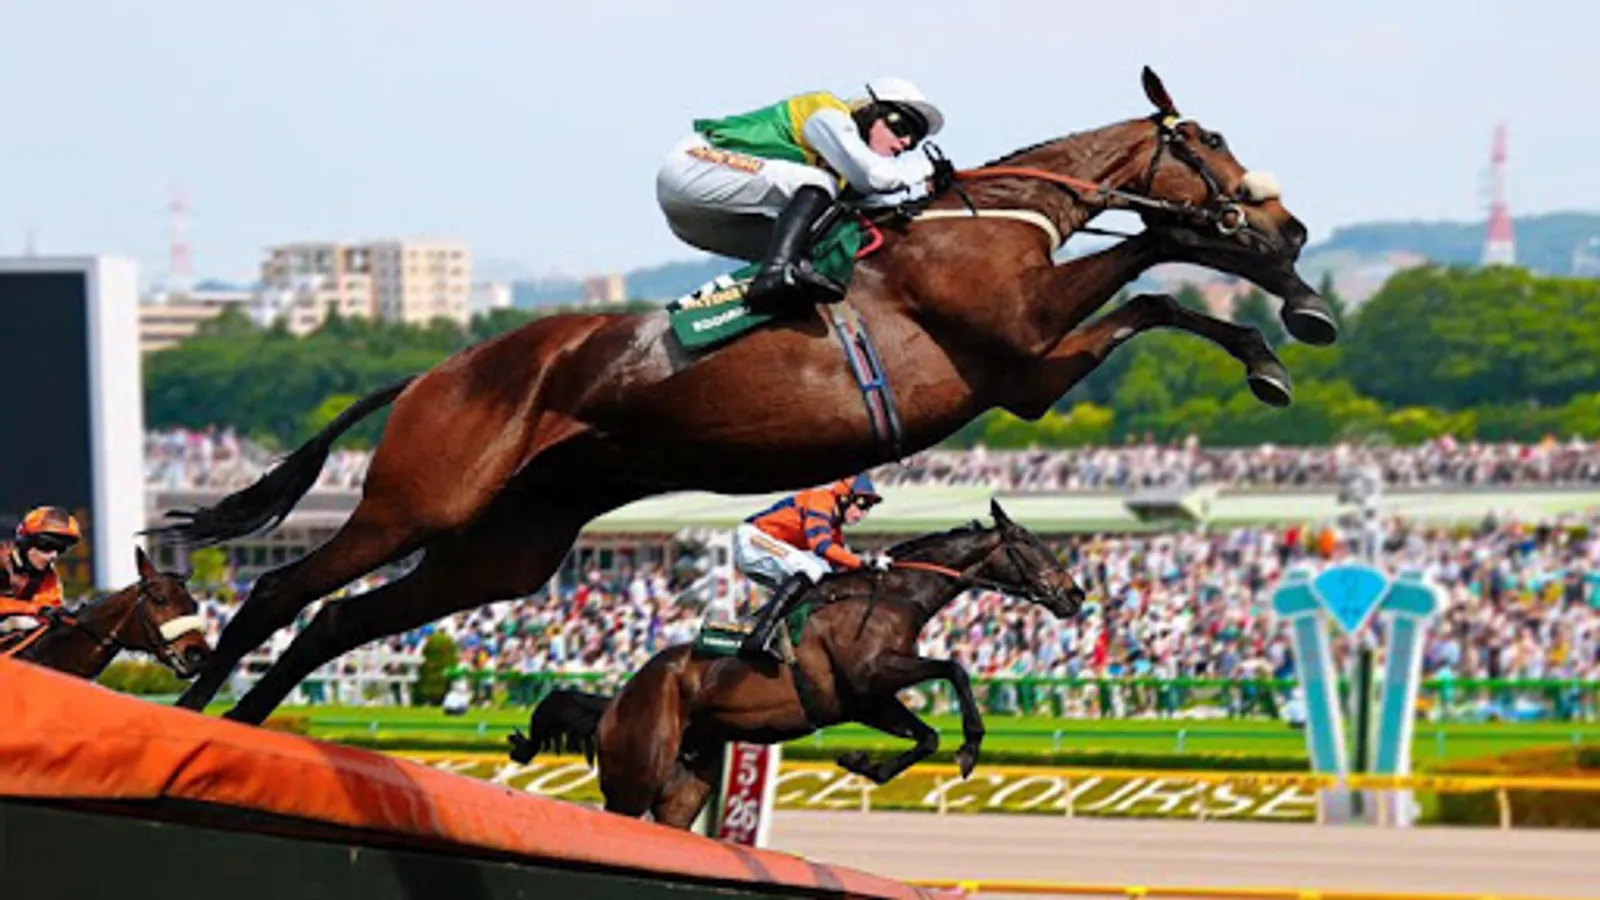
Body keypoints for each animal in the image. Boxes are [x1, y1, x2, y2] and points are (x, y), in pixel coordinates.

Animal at [155, 66, 1330, 724]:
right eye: (1208, 141)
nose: (1288, 220)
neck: (992, 218)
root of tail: (437, 371)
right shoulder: (1024, 345)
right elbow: (1155, 270)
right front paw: (1277, 313)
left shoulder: (1030, 372)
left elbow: (1158, 286)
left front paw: (1285, 316)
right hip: (419, 498)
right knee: (280, 591)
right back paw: (194, 704)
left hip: (504, 551)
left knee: (338, 620)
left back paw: (248, 722)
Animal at [508, 500, 1082, 828]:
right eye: (1030, 544)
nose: (1076, 594)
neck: (893, 594)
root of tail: (616, 701)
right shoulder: (871, 674)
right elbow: (955, 669)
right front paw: (969, 747)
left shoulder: (865, 700)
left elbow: (926, 735)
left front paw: (865, 763)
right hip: (635, 773)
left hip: (684, 786)